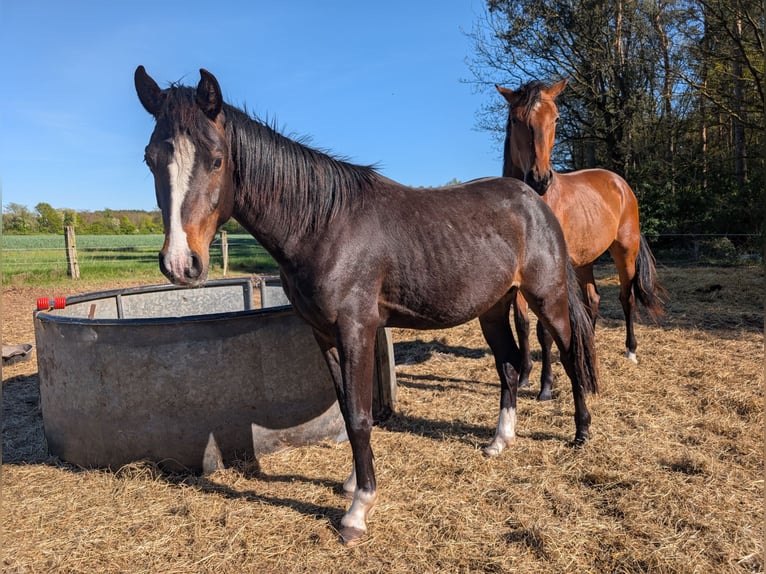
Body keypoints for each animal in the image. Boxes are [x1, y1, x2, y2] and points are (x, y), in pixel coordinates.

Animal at [134, 66, 599, 546]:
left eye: (216, 159)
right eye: (150, 158)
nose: (180, 263)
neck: (322, 225)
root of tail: (535, 201)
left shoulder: (356, 330)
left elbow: (359, 416)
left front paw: (358, 509)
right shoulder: (323, 334)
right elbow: (345, 409)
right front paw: (353, 483)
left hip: (547, 298)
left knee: (570, 354)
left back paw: (581, 433)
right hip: (492, 307)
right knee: (507, 365)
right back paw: (499, 441)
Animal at [496, 79, 664, 401]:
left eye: (556, 118)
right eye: (515, 119)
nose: (539, 179)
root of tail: (620, 183)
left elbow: (544, 330)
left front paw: (546, 386)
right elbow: (522, 322)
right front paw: (525, 375)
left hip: (624, 252)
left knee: (626, 297)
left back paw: (630, 350)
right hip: (584, 261)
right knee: (592, 300)